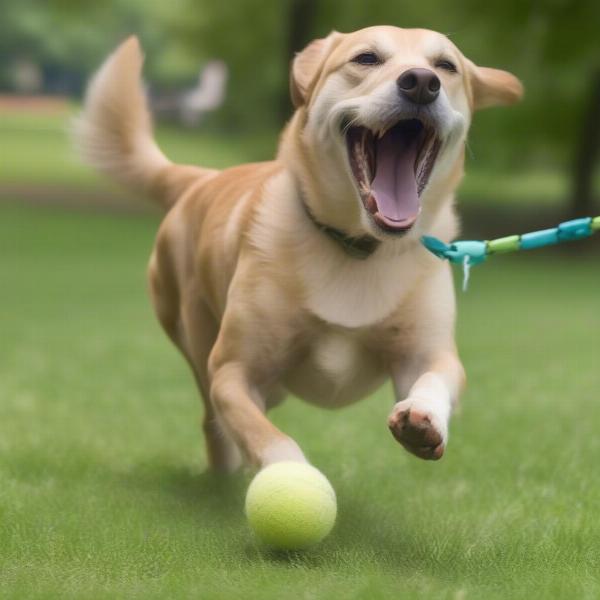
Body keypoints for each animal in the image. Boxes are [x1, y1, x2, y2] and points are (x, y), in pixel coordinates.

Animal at [77, 25, 524, 472]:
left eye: (445, 66)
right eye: (366, 58)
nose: (421, 83)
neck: (357, 246)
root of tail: (203, 178)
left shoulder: (427, 353)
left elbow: (436, 377)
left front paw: (423, 416)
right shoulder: (233, 371)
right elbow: (267, 438)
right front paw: (290, 476)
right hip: (195, 337)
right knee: (213, 422)